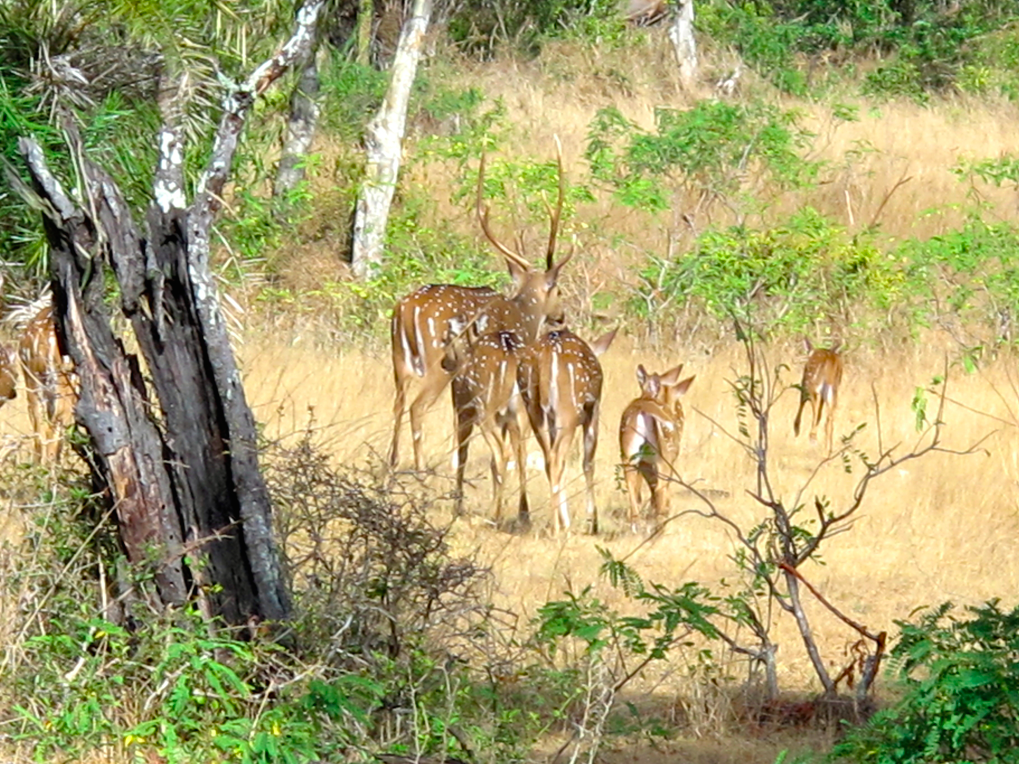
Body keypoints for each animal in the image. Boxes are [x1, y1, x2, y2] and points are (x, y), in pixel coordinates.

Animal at [385, 139, 570, 470]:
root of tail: (402, 311)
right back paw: (420, 467)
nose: (561, 316)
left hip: (398, 361)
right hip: (438, 361)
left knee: (397, 403)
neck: (524, 317)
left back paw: (391, 463)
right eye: (558, 289)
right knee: (417, 408)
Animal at [444, 325, 533, 529]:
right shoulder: (504, 422)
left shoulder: (463, 410)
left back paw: (495, 517)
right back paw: (523, 516)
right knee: (520, 457)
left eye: (449, 340)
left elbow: (462, 456)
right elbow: (491, 464)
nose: (443, 362)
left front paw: (457, 508)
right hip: (522, 416)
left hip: (485, 409)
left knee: (502, 453)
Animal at [513, 325, 615, 533]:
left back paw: (559, 523)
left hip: (534, 410)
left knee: (549, 458)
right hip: (568, 410)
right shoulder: (593, 409)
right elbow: (588, 462)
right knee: (557, 458)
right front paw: (593, 522)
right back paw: (557, 528)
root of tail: (545, 356)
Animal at [615, 362, 696, 533]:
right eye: (677, 403)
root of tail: (643, 409)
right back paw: (660, 524)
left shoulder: (644, 461)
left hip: (628, 453)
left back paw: (636, 525)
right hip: (665, 454)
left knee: (631, 485)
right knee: (660, 487)